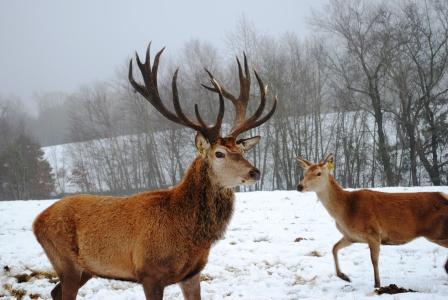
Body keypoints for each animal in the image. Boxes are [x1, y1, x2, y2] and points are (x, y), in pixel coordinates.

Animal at [32, 45, 276, 300]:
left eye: (241, 149)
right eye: (219, 153)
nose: (255, 172)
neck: (188, 234)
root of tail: (37, 222)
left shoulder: (192, 273)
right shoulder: (149, 273)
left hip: (86, 269)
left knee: (54, 291)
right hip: (65, 261)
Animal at [298, 155, 448, 288]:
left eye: (318, 173)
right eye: (305, 173)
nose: (300, 186)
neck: (346, 212)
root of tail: (444, 196)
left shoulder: (374, 233)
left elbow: (374, 260)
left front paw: (377, 284)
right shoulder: (351, 236)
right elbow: (334, 248)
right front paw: (344, 276)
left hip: (437, 232)